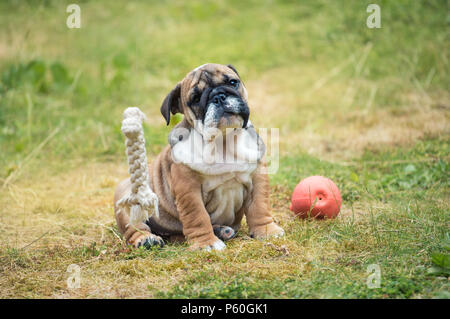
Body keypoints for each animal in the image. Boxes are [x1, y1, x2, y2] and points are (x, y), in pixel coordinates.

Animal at [115, 63, 284, 251]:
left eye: (233, 82)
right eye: (195, 98)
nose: (219, 97)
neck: (223, 142)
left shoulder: (257, 178)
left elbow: (259, 206)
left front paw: (266, 230)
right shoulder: (189, 190)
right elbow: (198, 217)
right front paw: (206, 243)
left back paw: (221, 231)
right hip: (130, 203)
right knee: (134, 227)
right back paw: (147, 239)